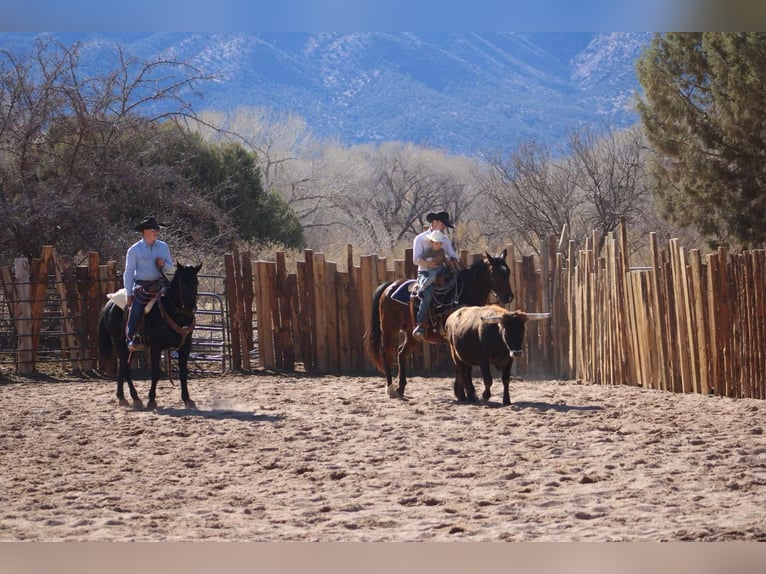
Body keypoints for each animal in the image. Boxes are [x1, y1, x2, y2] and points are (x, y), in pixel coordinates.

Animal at [98, 263, 202, 410]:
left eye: (196, 282)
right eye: (182, 282)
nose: (189, 308)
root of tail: (109, 304)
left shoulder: (186, 346)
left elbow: (183, 373)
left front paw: (187, 399)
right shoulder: (156, 347)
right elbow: (155, 373)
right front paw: (152, 400)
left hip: (131, 348)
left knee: (124, 367)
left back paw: (124, 398)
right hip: (119, 342)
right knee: (125, 367)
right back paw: (134, 398)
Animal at [364, 250, 514, 399]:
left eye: (508, 272)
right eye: (496, 273)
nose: (509, 296)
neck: (463, 293)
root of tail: (390, 285)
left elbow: (462, 364)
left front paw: (460, 392)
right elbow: (463, 364)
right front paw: (466, 392)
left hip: (412, 334)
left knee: (401, 353)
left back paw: (400, 388)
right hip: (389, 328)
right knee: (387, 355)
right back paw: (390, 389)